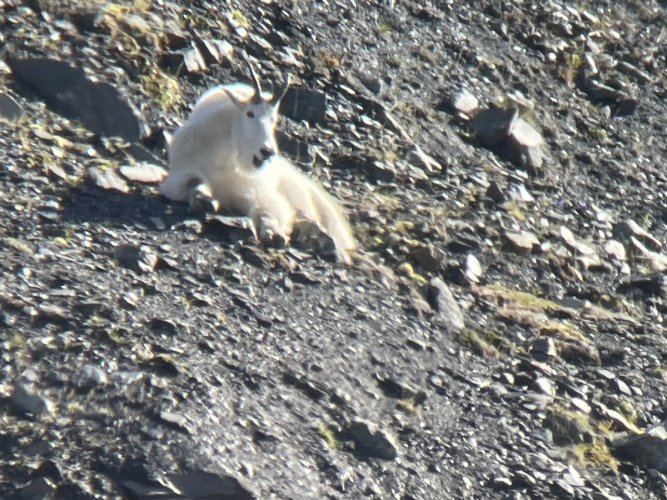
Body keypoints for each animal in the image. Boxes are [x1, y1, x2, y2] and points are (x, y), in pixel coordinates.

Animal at [161, 64, 356, 264]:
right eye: (250, 113)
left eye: (274, 119)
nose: (267, 151)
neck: (223, 157)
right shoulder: (180, 174)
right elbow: (192, 182)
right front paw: (205, 200)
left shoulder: (256, 192)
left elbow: (267, 209)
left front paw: (275, 234)